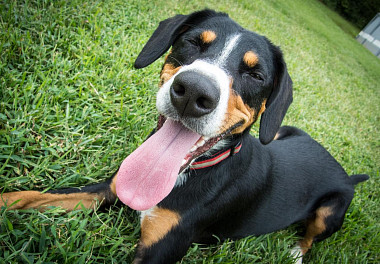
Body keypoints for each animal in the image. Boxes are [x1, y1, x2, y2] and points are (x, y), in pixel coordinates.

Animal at [0, 9, 368, 262]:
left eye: (256, 74)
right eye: (193, 42)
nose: (193, 92)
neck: (190, 173)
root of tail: (346, 172)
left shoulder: (162, 248)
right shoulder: (109, 188)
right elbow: (33, 196)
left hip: (332, 210)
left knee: (311, 237)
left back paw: (294, 252)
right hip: (282, 132)